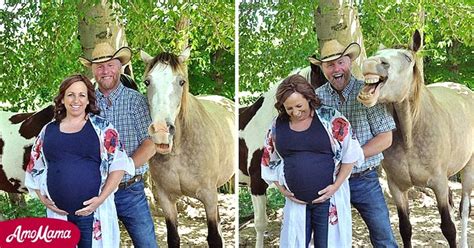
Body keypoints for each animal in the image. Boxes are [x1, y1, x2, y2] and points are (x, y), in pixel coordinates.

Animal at [141, 47, 237, 247]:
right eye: (147, 82)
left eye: (181, 81)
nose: (161, 130)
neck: (179, 150)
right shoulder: (166, 199)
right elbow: (173, 237)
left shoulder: (208, 195)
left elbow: (214, 238)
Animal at [358, 30, 472, 247]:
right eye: (377, 53)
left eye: (407, 57)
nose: (371, 63)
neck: (410, 136)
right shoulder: (396, 187)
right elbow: (405, 228)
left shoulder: (438, 183)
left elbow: (448, 228)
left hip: (469, 168)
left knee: (464, 208)